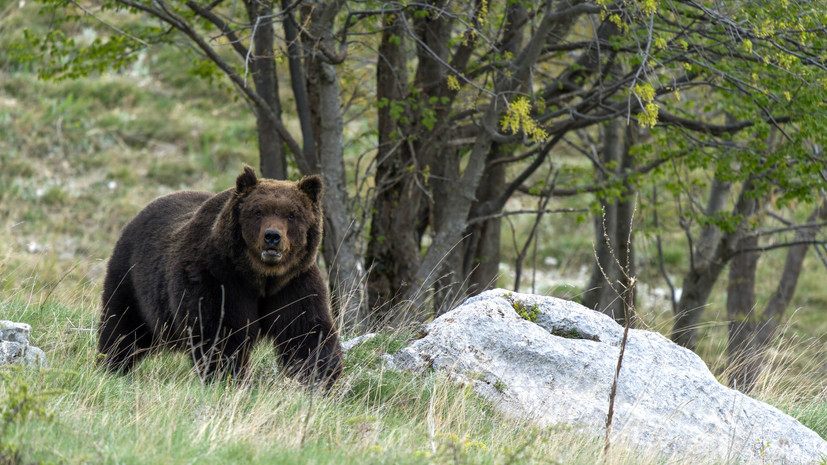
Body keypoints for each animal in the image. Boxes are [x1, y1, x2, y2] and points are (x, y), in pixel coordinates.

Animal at [98, 165, 342, 386]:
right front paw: (229, 378)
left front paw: (325, 380)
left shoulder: (293, 283)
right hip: (132, 279)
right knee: (122, 326)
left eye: (292, 215)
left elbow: (307, 332)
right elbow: (221, 333)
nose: (272, 237)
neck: (261, 276)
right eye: (258, 212)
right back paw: (111, 365)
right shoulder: (218, 278)